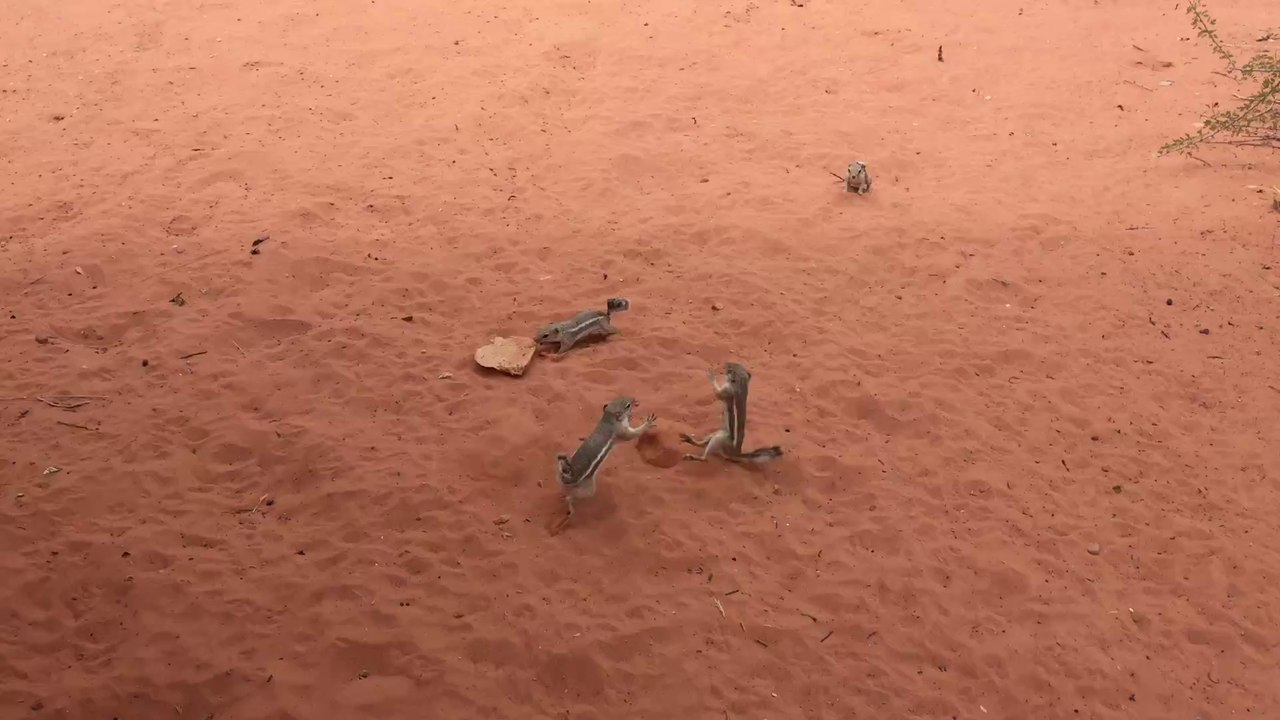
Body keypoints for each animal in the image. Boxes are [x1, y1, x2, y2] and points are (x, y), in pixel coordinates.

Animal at [553, 396, 656, 530]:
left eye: (620, 397)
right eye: (627, 405)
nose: (634, 399)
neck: (608, 419)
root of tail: (570, 478)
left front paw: (631, 417)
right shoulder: (622, 432)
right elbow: (633, 434)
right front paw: (647, 424)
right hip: (589, 490)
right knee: (571, 498)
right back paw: (571, 507)